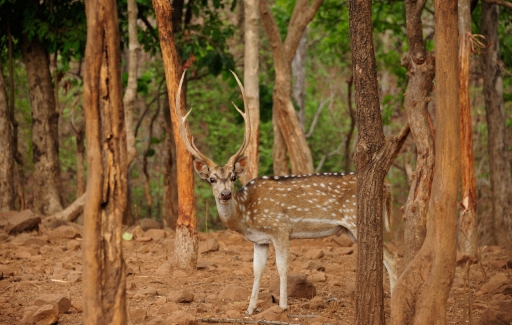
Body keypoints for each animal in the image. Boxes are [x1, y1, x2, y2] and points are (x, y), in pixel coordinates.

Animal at [177, 71, 400, 314]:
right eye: (212, 179)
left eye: (233, 177)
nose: (225, 194)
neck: (245, 215)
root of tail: (387, 186)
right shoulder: (260, 240)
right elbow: (257, 271)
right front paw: (250, 309)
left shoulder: (280, 228)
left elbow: (282, 267)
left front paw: (282, 306)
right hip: (350, 229)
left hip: (357, 220)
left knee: (393, 258)